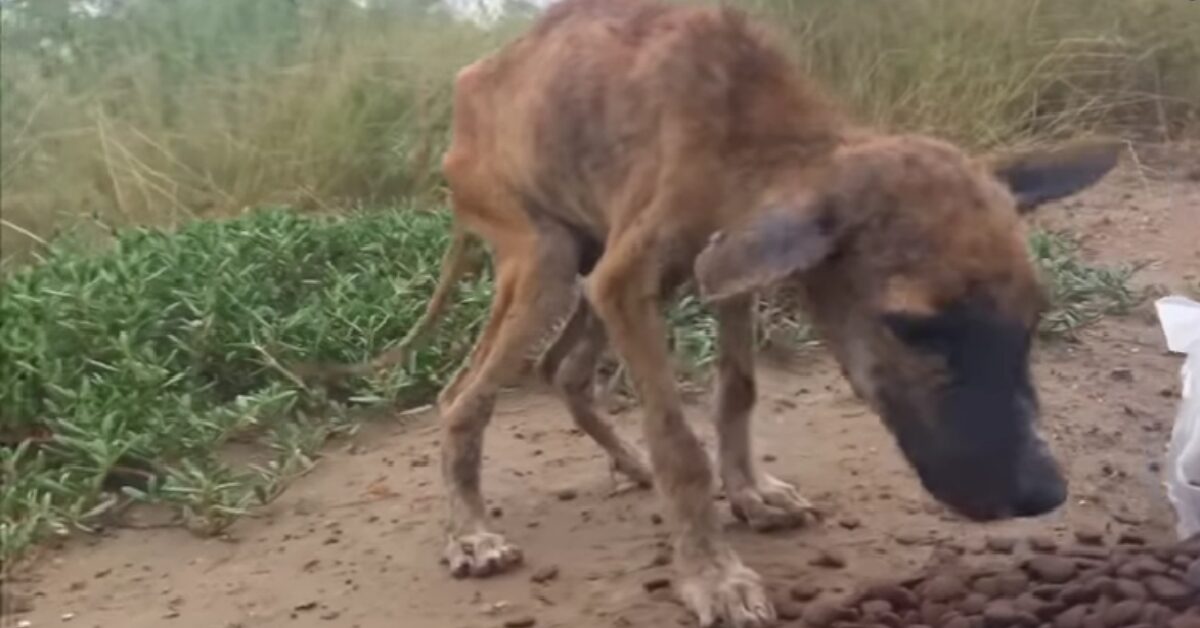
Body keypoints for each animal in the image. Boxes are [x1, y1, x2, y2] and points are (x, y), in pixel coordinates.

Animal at [427, 2, 1118, 624]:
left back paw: (625, 462)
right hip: (545, 260)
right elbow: (680, 444)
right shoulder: (628, 284)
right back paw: (471, 533)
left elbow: (738, 392)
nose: (1043, 493)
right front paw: (712, 575)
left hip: (593, 265)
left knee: (562, 371)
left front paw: (749, 493)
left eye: (1034, 315)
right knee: (462, 398)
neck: (748, 136)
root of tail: (469, 83)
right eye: (913, 328)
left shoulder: (728, 276)